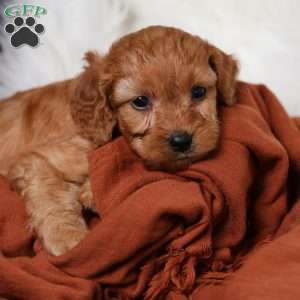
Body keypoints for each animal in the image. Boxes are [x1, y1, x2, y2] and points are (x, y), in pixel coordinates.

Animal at [0, 25, 238, 255]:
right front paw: (70, 240)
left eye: (198, 92)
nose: (181, 140)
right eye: (140, 101)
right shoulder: (36, 162)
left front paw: (89, 193)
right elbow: (51, 198)